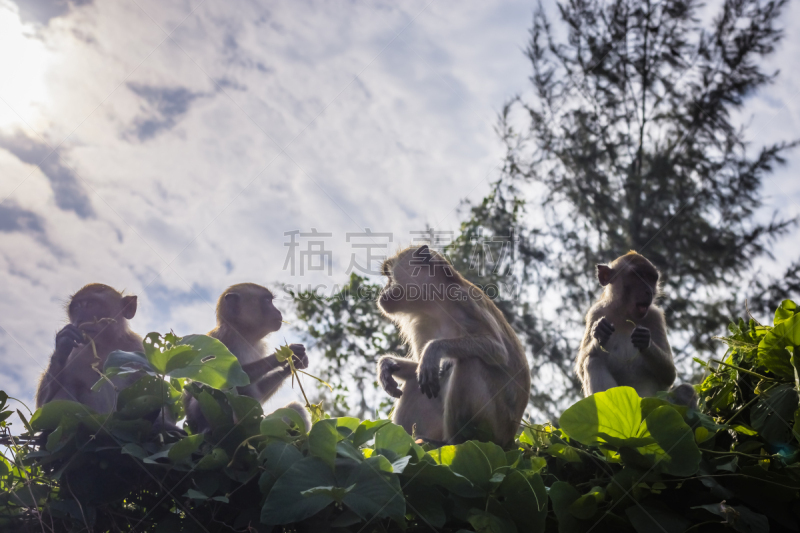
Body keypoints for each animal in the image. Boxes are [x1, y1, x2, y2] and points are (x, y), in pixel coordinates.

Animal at [37, 282, 144, 412]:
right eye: (76, 308)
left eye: (91, 305)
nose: (79, 320)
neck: (102, 346)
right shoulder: (75, 352)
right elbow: (42, 404)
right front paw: (62, 345)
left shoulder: (138, 349)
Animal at [186, 282, 310, 432]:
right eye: (267, 301)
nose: (278, 312)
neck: (244, 335)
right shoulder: (223, 338)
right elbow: (231, 378)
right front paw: (284, 354)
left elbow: (258, 394)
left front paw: (295, 363)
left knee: (294, 409)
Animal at [376, 245, 532, 444]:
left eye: (389, 276)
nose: (383, 290)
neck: (435, 304)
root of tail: (509, 438)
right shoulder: (421, 323)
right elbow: (419, 367)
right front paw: (386, 365)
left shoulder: (464, 299)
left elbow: (498, 351)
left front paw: (434, 350)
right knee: (416, 379)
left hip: (494, 426)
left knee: (470, 361)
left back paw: (452, 442)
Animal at [572, 251, 680, 396]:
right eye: (637, 276)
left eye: (651, 278)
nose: (649, 291)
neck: (624, 315)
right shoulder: (596, 313)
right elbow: (581, 368)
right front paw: (599, 332)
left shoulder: (655, 317)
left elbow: (669, 374)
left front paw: (644, 340)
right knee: (592, 360)